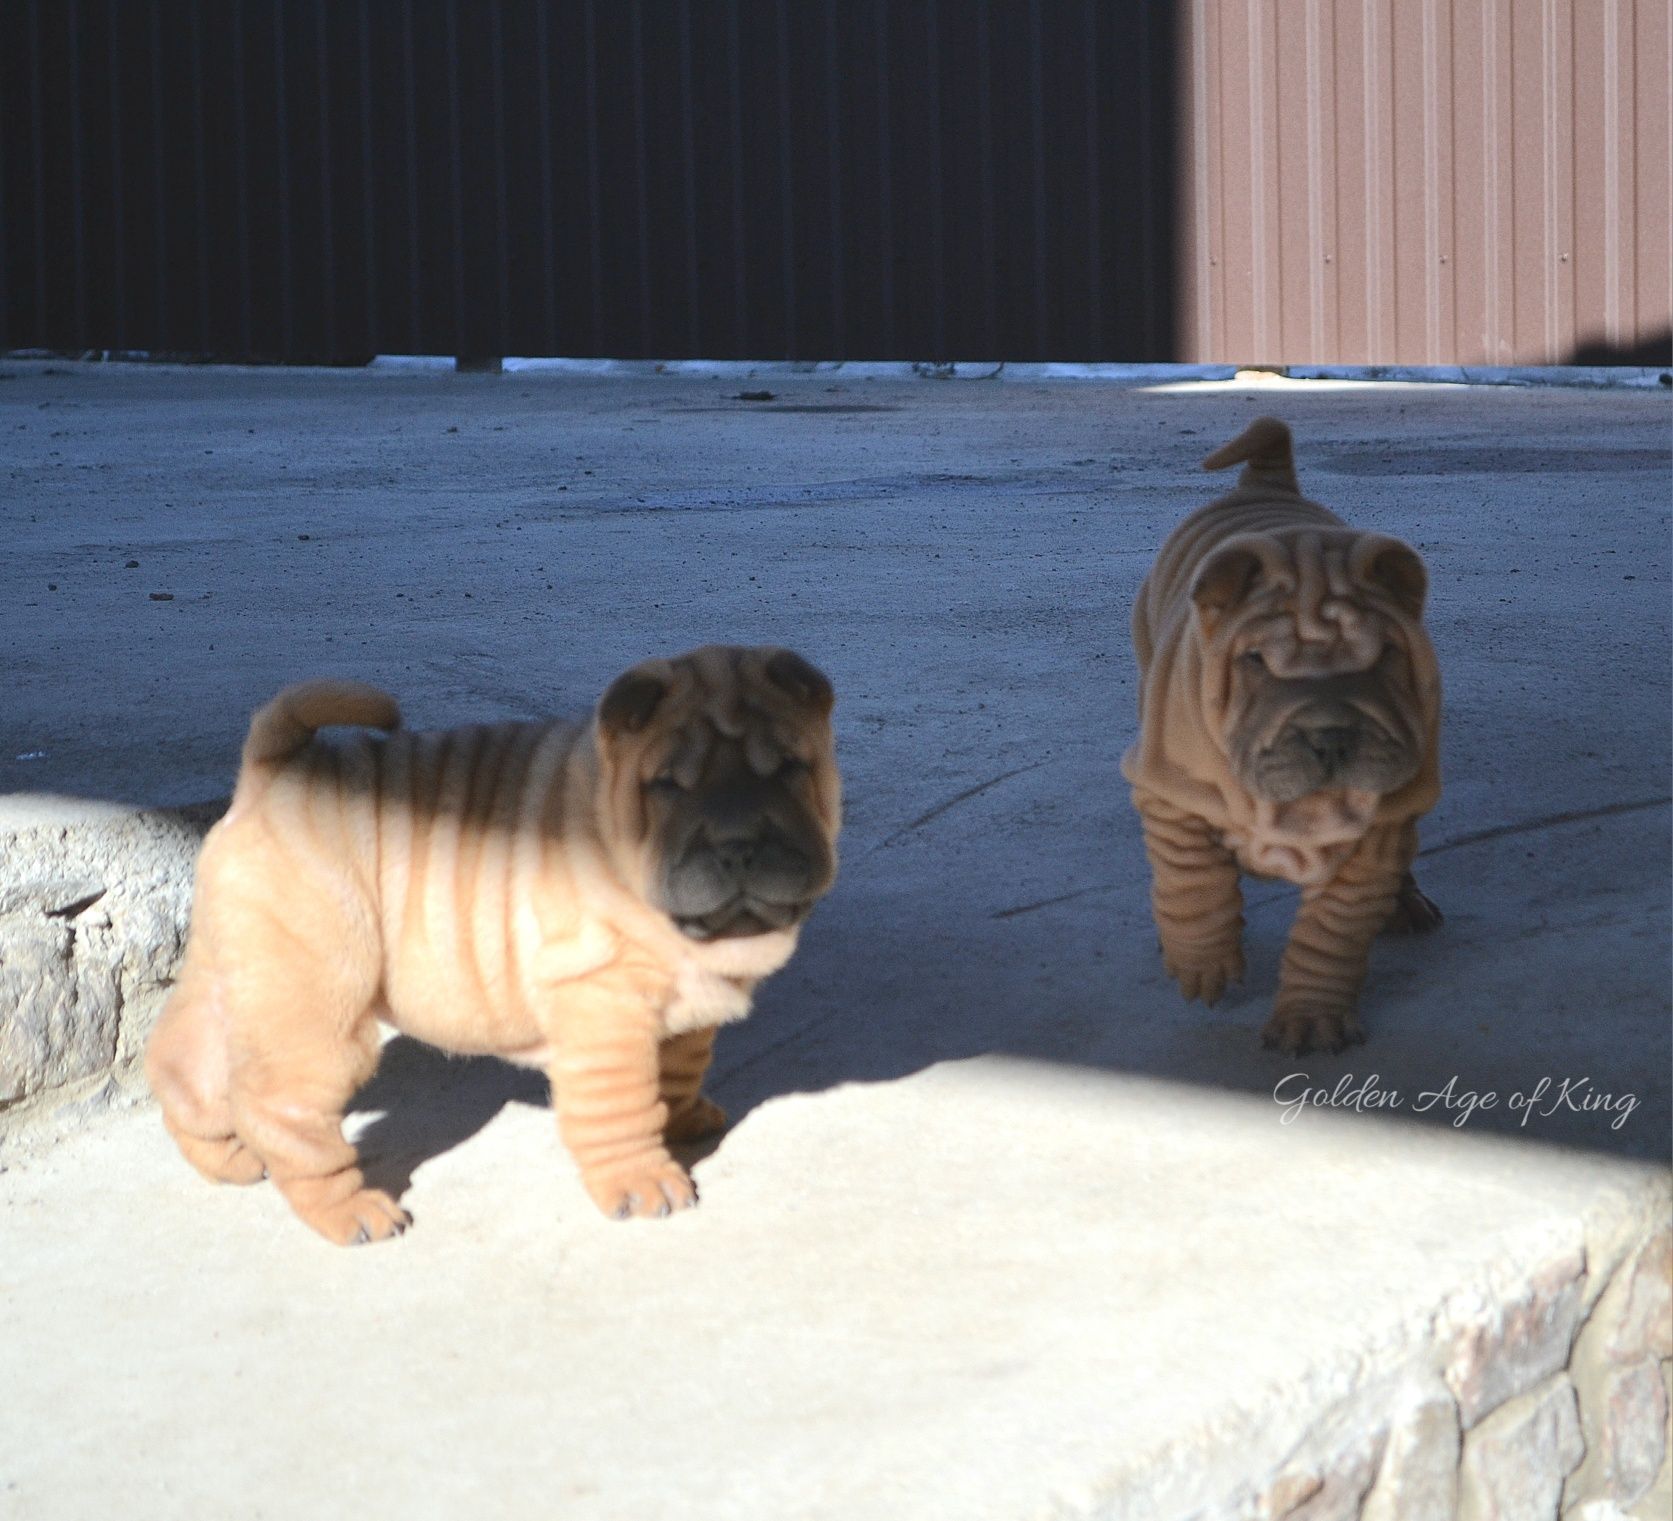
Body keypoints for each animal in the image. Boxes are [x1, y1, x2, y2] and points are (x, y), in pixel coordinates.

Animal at [148, 642, 843, 1244]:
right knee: (282, 1109)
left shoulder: (685, 1016)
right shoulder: (605, 1011)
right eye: (669, 786)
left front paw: (684, 1118)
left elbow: (677, 1069)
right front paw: (643, 1180)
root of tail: (272, 772)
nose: (738, 842)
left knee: (186, 1059)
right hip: (318, 1007)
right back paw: (353, 1212)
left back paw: (225, 1157)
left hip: (243, 970)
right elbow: (621, 1105)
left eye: (790, 770)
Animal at [1124, 414, 1438, 1057]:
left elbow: (1331, 934)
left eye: (1386, 657)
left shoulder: (1374, 840)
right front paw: (1202, 964)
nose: (1330, 734)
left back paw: (1407, 902)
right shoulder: (1171, 795)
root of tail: (1266, 484)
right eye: (1257, 663)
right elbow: (1192, 877)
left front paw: (1310, 1019)